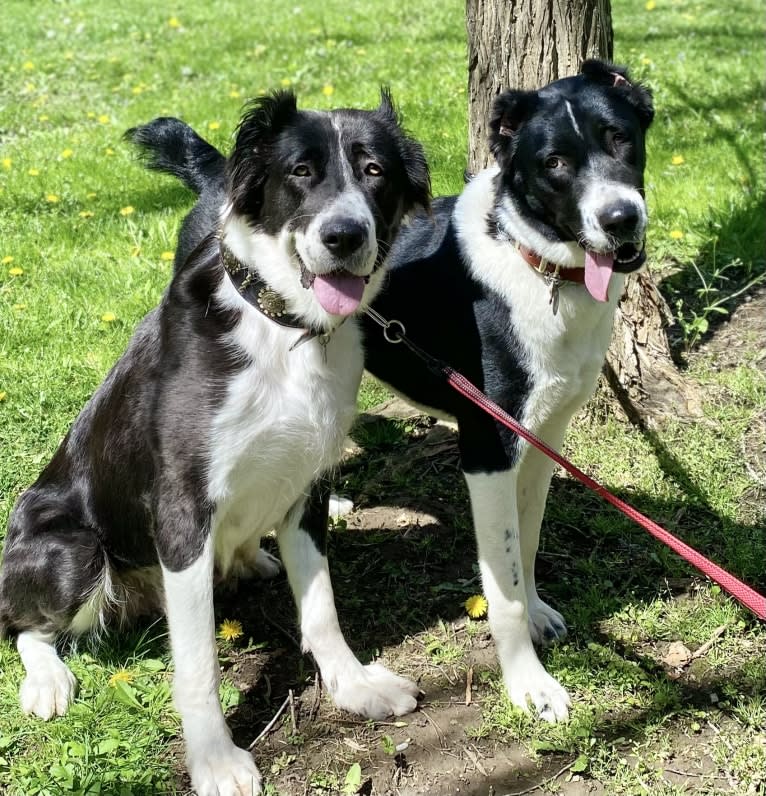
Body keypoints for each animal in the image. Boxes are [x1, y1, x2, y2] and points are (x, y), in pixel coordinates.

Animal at [0, 90, 432, 792]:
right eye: (300, 171)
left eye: (375, 171)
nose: (344, 236)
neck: (283, 332)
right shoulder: (183, 512)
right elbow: (198, 663)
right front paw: (214, 759)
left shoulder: (308, 485)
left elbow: (322, 607)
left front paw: (353, 685)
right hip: (74, 551)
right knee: (23, 625)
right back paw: (48, 681)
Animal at [108, 59, 656, 724]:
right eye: (553, 162)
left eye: (620, 138)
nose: (621, 220)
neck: (532, 260)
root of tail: (220, 173)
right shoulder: (489, 447)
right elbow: (502, 584)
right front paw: (529, 684)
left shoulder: (543, 436)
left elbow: (524, 545)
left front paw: (540, 613)